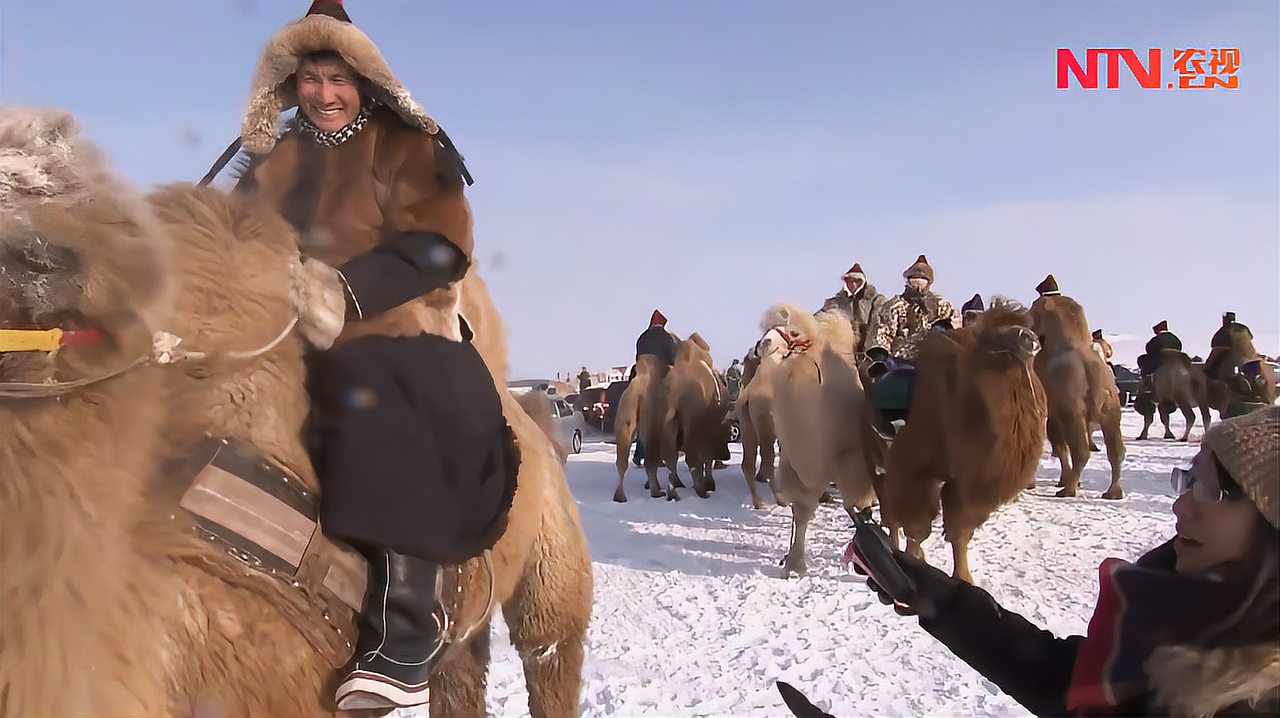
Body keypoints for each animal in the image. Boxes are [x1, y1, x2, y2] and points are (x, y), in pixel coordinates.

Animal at [732, 327, 788, 506]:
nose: (764, 342)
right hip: (766, 428)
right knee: (768, 462)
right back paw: (781, 499)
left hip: (748, 427)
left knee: (748, 464)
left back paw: (759, 502)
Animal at [757, 302, 880, 575]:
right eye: (768, 328)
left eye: (793, 332)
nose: (763, 344)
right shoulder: (800, 465)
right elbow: (802, 512)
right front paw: (794, 563)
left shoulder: (855, 464)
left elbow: (862, 509)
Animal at [880, 299, 1049, 586]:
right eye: (998, 335)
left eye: (1027, 326)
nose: (1030, 339)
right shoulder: (916, 469)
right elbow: (918, 524)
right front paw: (915, 559)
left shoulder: (969, 485)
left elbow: (960, 530)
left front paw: (963, 577)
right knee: (890, 508)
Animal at [1029, 291, 1121, 499]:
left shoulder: (1053, 414)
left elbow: (1060, 448)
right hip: (1110, 408)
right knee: (1116, 451)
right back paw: (1113, 492)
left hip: (1071, 411)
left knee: (1080, 451)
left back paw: (1068, 489)